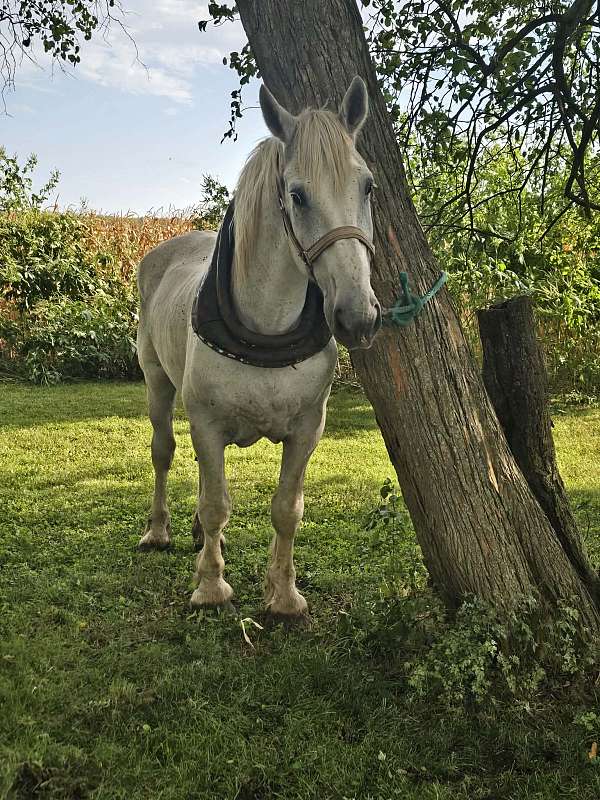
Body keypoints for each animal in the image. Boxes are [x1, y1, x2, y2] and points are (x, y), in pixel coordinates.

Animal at [136, 76, 381, 621]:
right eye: (298, 195)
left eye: (367, 186)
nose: (357, 316)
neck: (265, 331)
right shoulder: (207, 423)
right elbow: (216, 504)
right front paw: (211, 585)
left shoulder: (308, 429)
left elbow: (286, 509)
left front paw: (284, 595)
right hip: (156, 380)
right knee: (164, 452)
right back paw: (160, 531)